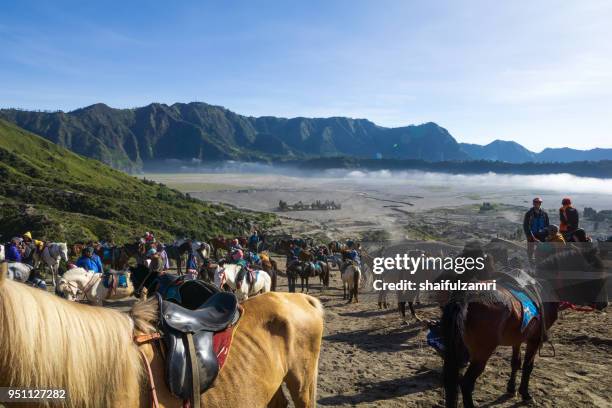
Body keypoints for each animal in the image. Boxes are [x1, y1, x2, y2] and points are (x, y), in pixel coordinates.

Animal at [440, 247, 608, 406]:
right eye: (599, 275)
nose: (605, 303)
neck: (545, 286)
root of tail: (465, 297)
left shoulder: (517, 338)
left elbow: (515, 363)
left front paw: (511, 388)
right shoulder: (534, 339)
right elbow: (528, 366)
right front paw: (525, 394)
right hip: (481, 353)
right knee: (466, 384)